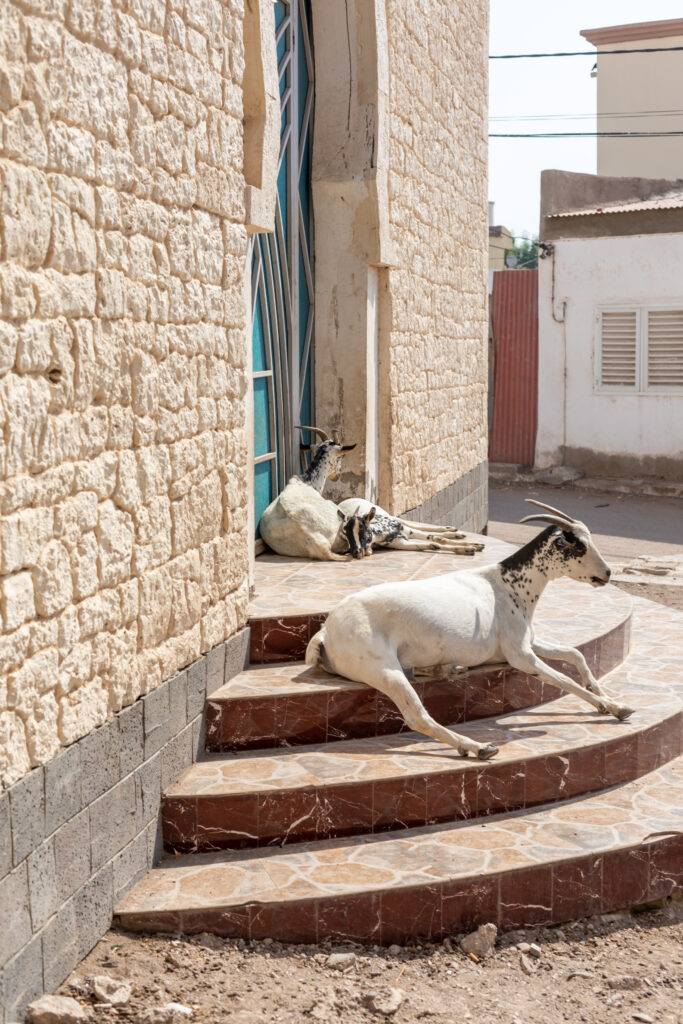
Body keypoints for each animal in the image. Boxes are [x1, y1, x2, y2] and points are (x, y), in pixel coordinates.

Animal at [307, 499, 634, 757]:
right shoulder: (521, 656)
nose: (607, 573)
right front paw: (615, 707)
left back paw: (448, 669)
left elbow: (575, 654)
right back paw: (476, 747)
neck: (508, 584)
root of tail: (326, 631)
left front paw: (600, 693)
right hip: (383, 669)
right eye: (579, 545)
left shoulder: (527, 642)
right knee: (416, 716)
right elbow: (564, 680)